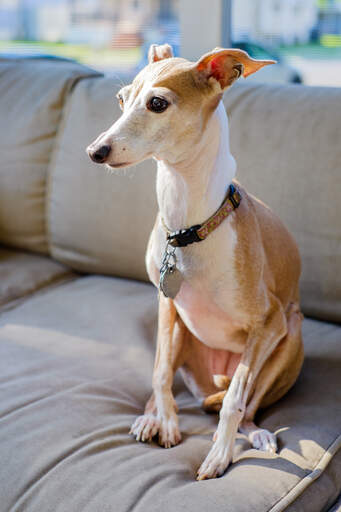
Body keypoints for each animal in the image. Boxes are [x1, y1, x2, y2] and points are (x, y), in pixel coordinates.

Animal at [87, 44, 302, 480]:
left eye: (157, 103)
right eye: (121, 99)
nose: (95, 151)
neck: (189, 226)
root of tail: (216, 373)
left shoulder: (269, 323)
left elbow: (236, 399)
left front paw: (219, 453)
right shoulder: (166, 303)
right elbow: (158, 372)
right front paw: (167, 421)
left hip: (289, 337)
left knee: (246, 401)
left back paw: (253, 434)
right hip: (182, 334)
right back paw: (150, 417)